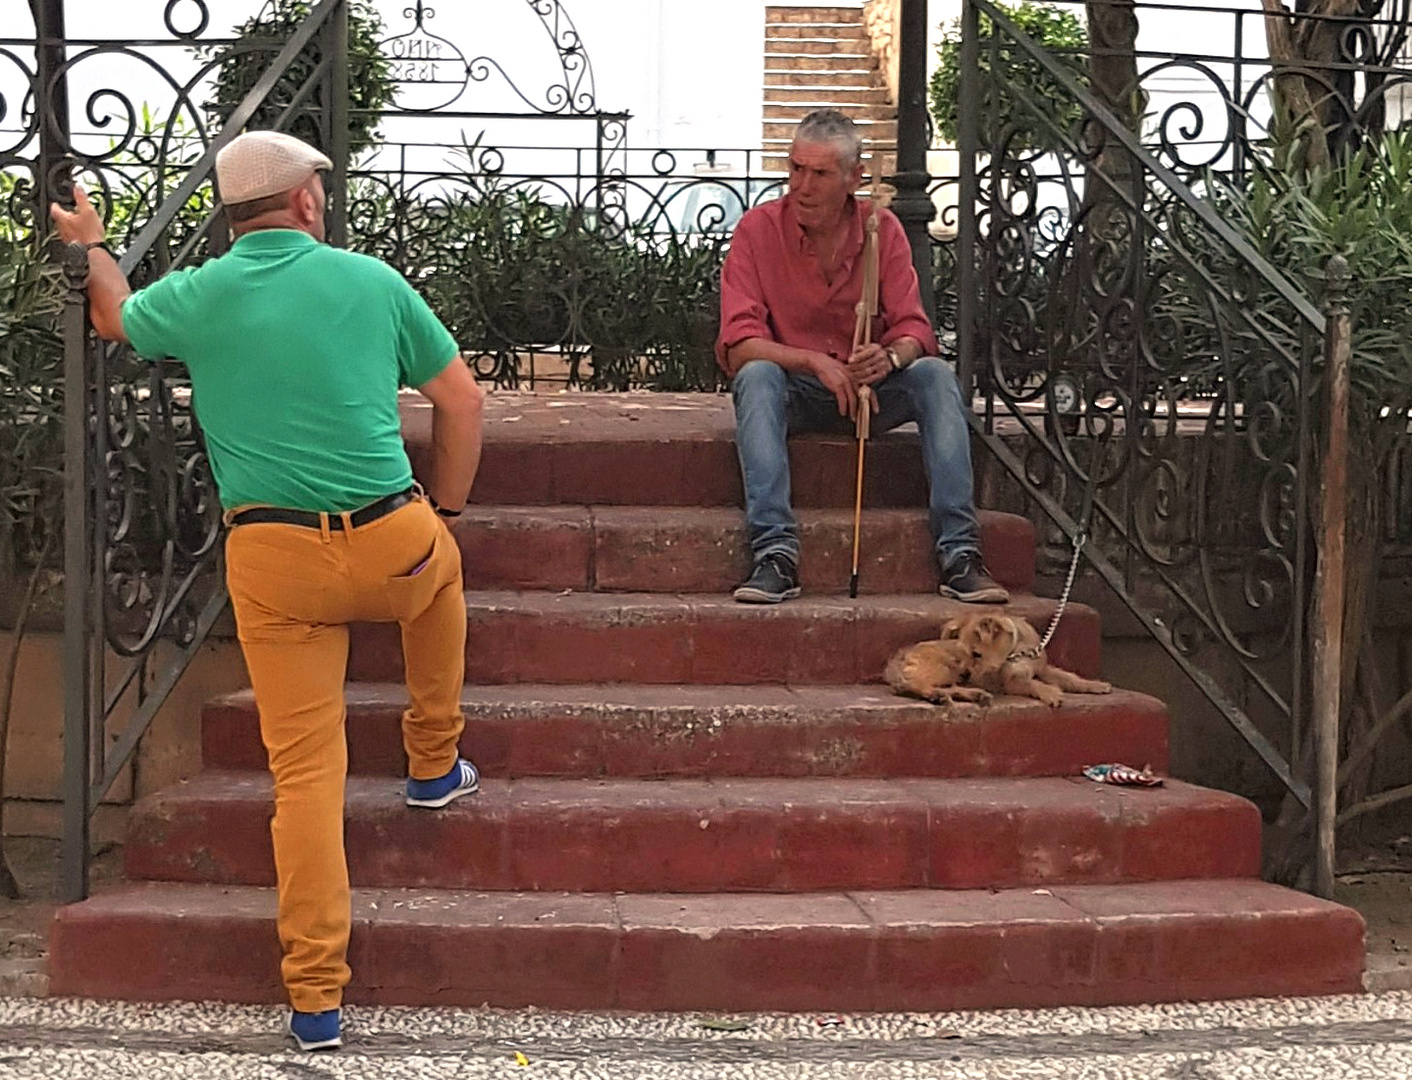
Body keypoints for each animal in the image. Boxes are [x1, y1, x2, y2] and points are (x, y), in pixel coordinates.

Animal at [948, 615, 1112, 708]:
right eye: (962, 653)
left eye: (976, 654)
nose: (964, 675)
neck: (1018, 652)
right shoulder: (1012, 683)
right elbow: (1033, 683)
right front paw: (1051, 693)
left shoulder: (1044, 669)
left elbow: (1070, 678)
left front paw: (1095, 685)